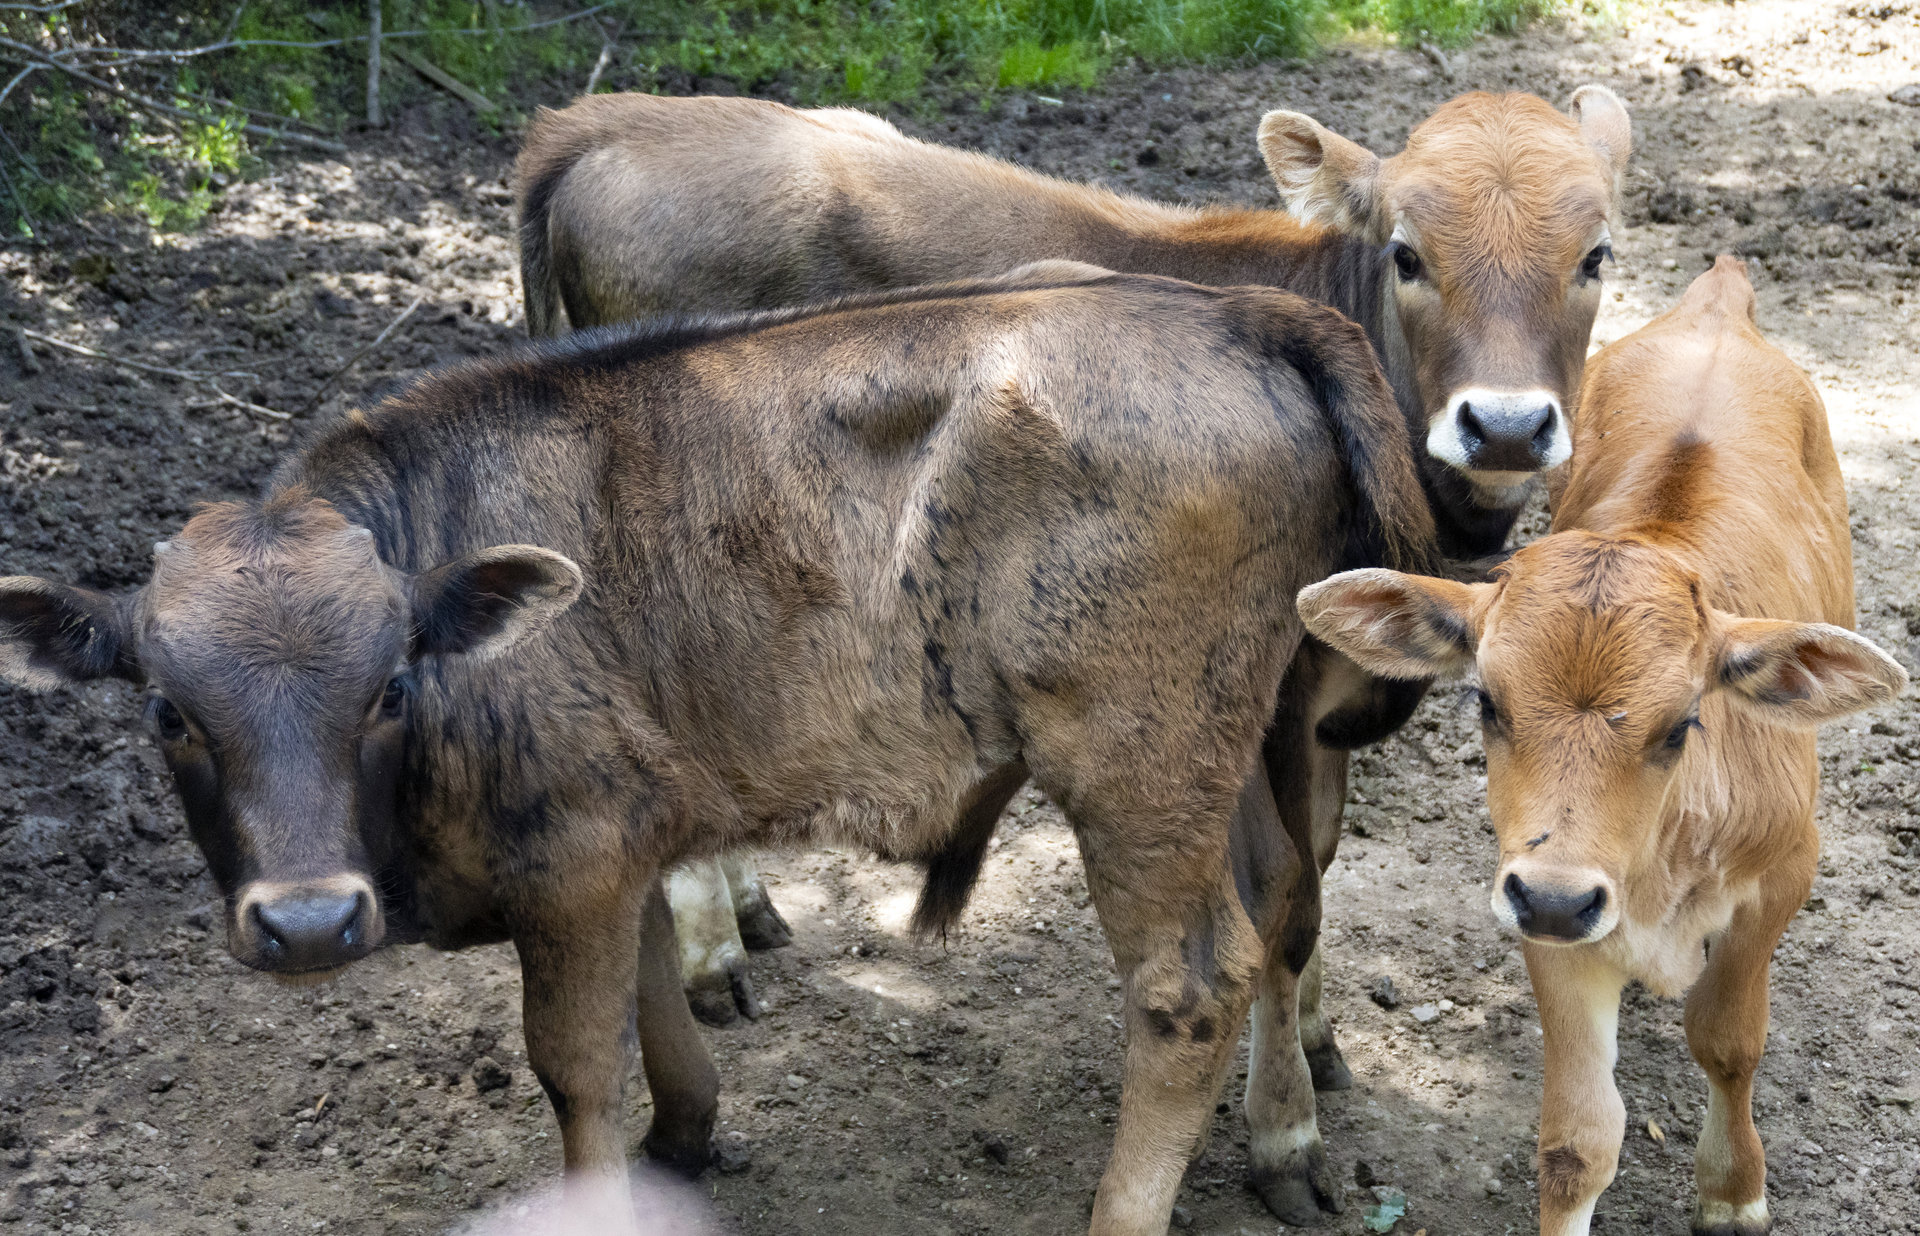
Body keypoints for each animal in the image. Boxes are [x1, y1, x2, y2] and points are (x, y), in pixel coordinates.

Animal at [0, 269, 1440, 1236]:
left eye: (388, 686)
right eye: (167, 711)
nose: (306, 922)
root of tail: (1242, 309)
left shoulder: (570, 867)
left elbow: (576, 1067)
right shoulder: (614, 849)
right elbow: (654, 1007)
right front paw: (684, 1141)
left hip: (1136, 773)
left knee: (1191, 982)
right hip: (1261, 738)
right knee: (1287, 903)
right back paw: (1286, 1147)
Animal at [514, 86, 1633, 1219]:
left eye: (1596, 254)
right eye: (1407, 253)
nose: (1504, 426)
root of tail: (608, 120)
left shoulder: (1323, 705)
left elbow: (1313, 871)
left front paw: (1318, 1046)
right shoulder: (1262, 700)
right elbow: (1285, 898)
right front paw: (1285, 1132)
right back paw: (714, 954)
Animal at [1295, 257, 1906, 1235]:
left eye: (1683, 723)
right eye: (1487, 702)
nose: (1557, 896)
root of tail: (1717, 299)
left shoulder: (1785, 869)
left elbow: (1729, 1041)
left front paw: (1732, 1191)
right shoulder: (1544, 901)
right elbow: (1578, 1140)